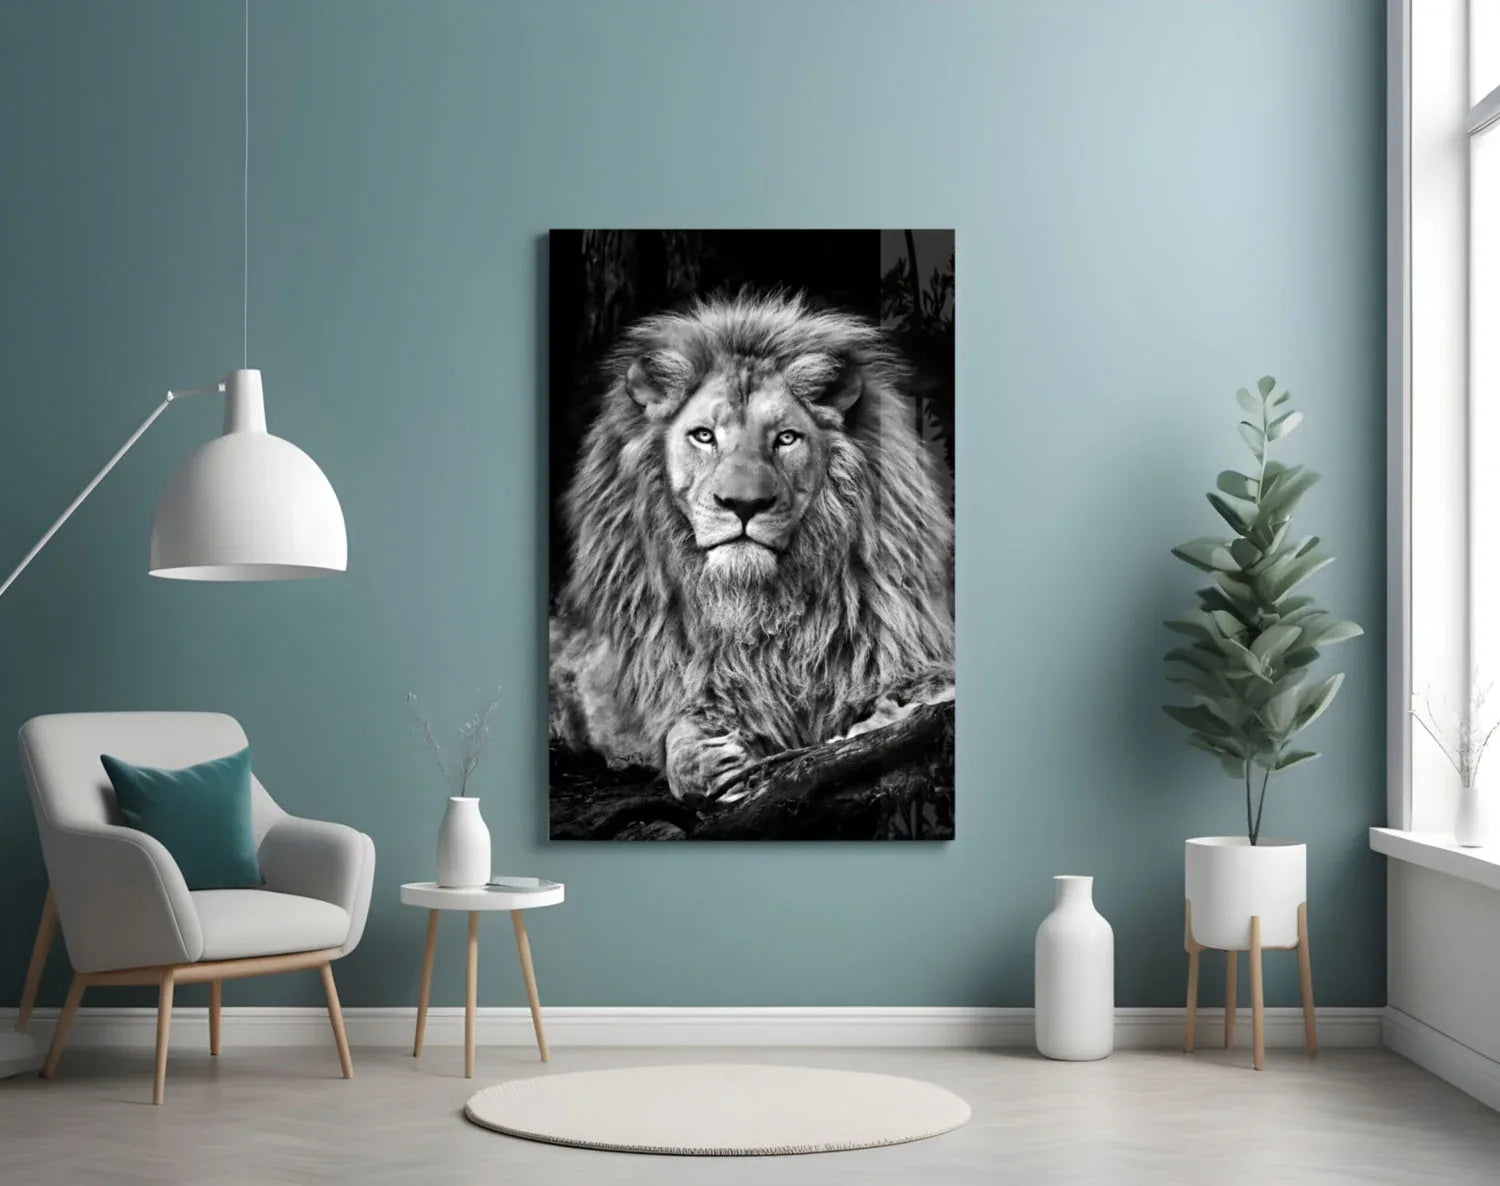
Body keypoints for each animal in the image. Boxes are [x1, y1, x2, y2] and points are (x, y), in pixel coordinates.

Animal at [549, 291, 954, 804]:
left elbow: (924, 696)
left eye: (786, 439)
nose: (744, 504)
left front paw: (877, 721)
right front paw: (712, 761)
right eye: (704, 435)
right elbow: (681, 742)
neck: (758, 610)